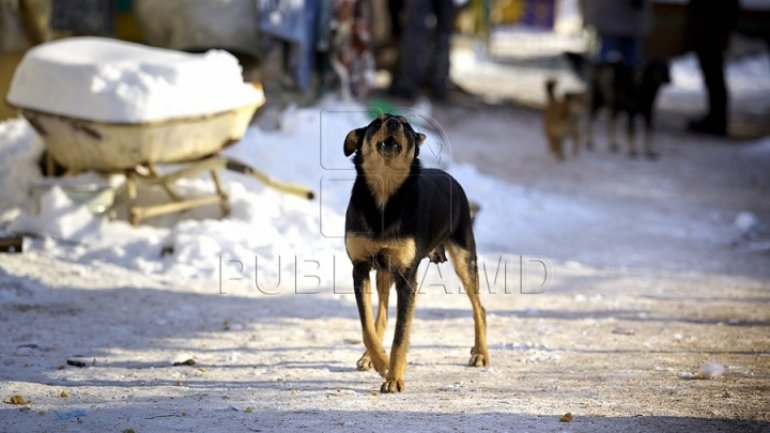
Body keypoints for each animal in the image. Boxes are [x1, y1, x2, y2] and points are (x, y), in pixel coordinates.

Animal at [342, 114, 486, 392]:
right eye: (377, 122)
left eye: (406, 125)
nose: (394, 124)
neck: (385, 196)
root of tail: (450, 177)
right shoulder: (360, 268)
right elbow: (367, 326)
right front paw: (381, 362)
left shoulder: (407, 277)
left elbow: (401, 334)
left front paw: (394, 378)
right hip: (384, 272)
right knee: (381, 317)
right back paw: (369, 358)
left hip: (464, 257)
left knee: (479, 309)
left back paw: (481, 354)